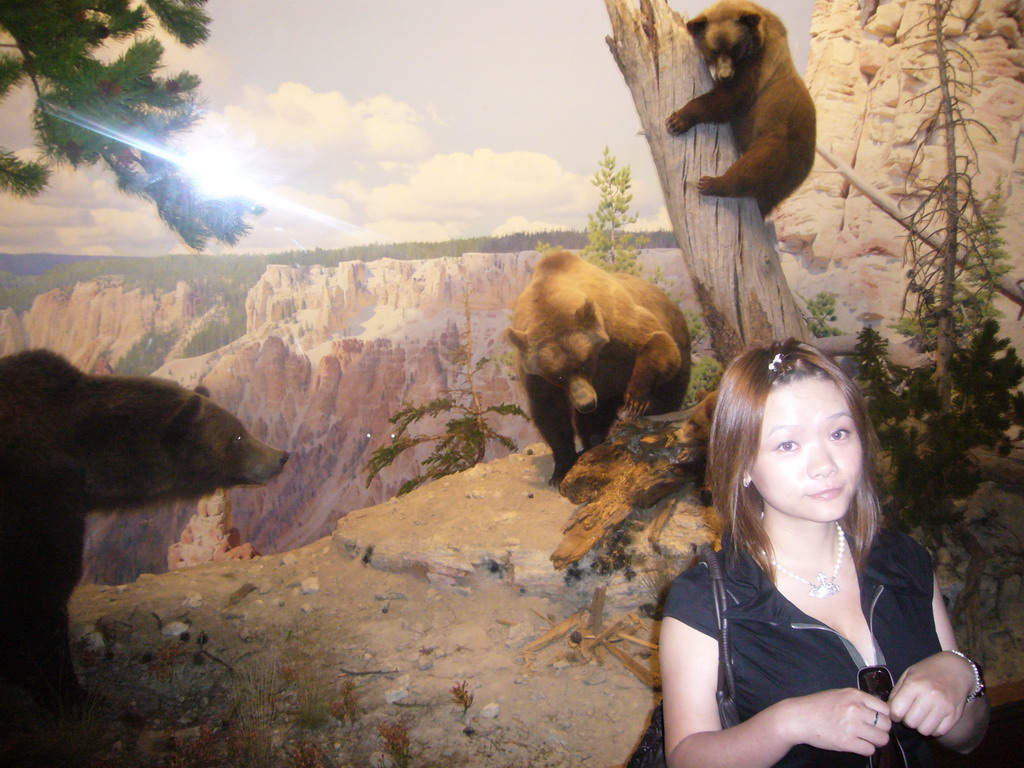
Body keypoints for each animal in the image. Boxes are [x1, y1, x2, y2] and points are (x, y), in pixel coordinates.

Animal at [1, 348, 288, 708]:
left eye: (242, 427)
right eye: (237, 434)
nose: (281, 455)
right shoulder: (36, 506)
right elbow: (40, 599)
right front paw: (73, 692)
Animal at [507, 252, 692, 487]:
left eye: (583, 363)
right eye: (559, 375)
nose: (586, 403)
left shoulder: (616, 326)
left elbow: (657, 341)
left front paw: (636, 398)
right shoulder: (537, 378)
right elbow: (552, 416)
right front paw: (561, 470)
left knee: (667, 395)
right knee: (594, 419)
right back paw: (590, 446)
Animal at [663, 0, 815, 217]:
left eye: (735, 49)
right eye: (715, 50)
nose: (724, 75)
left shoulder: (756, 67)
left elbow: (728, 99)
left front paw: (677, 120)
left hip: (778, 144)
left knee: (753, 168)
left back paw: (712, 183)